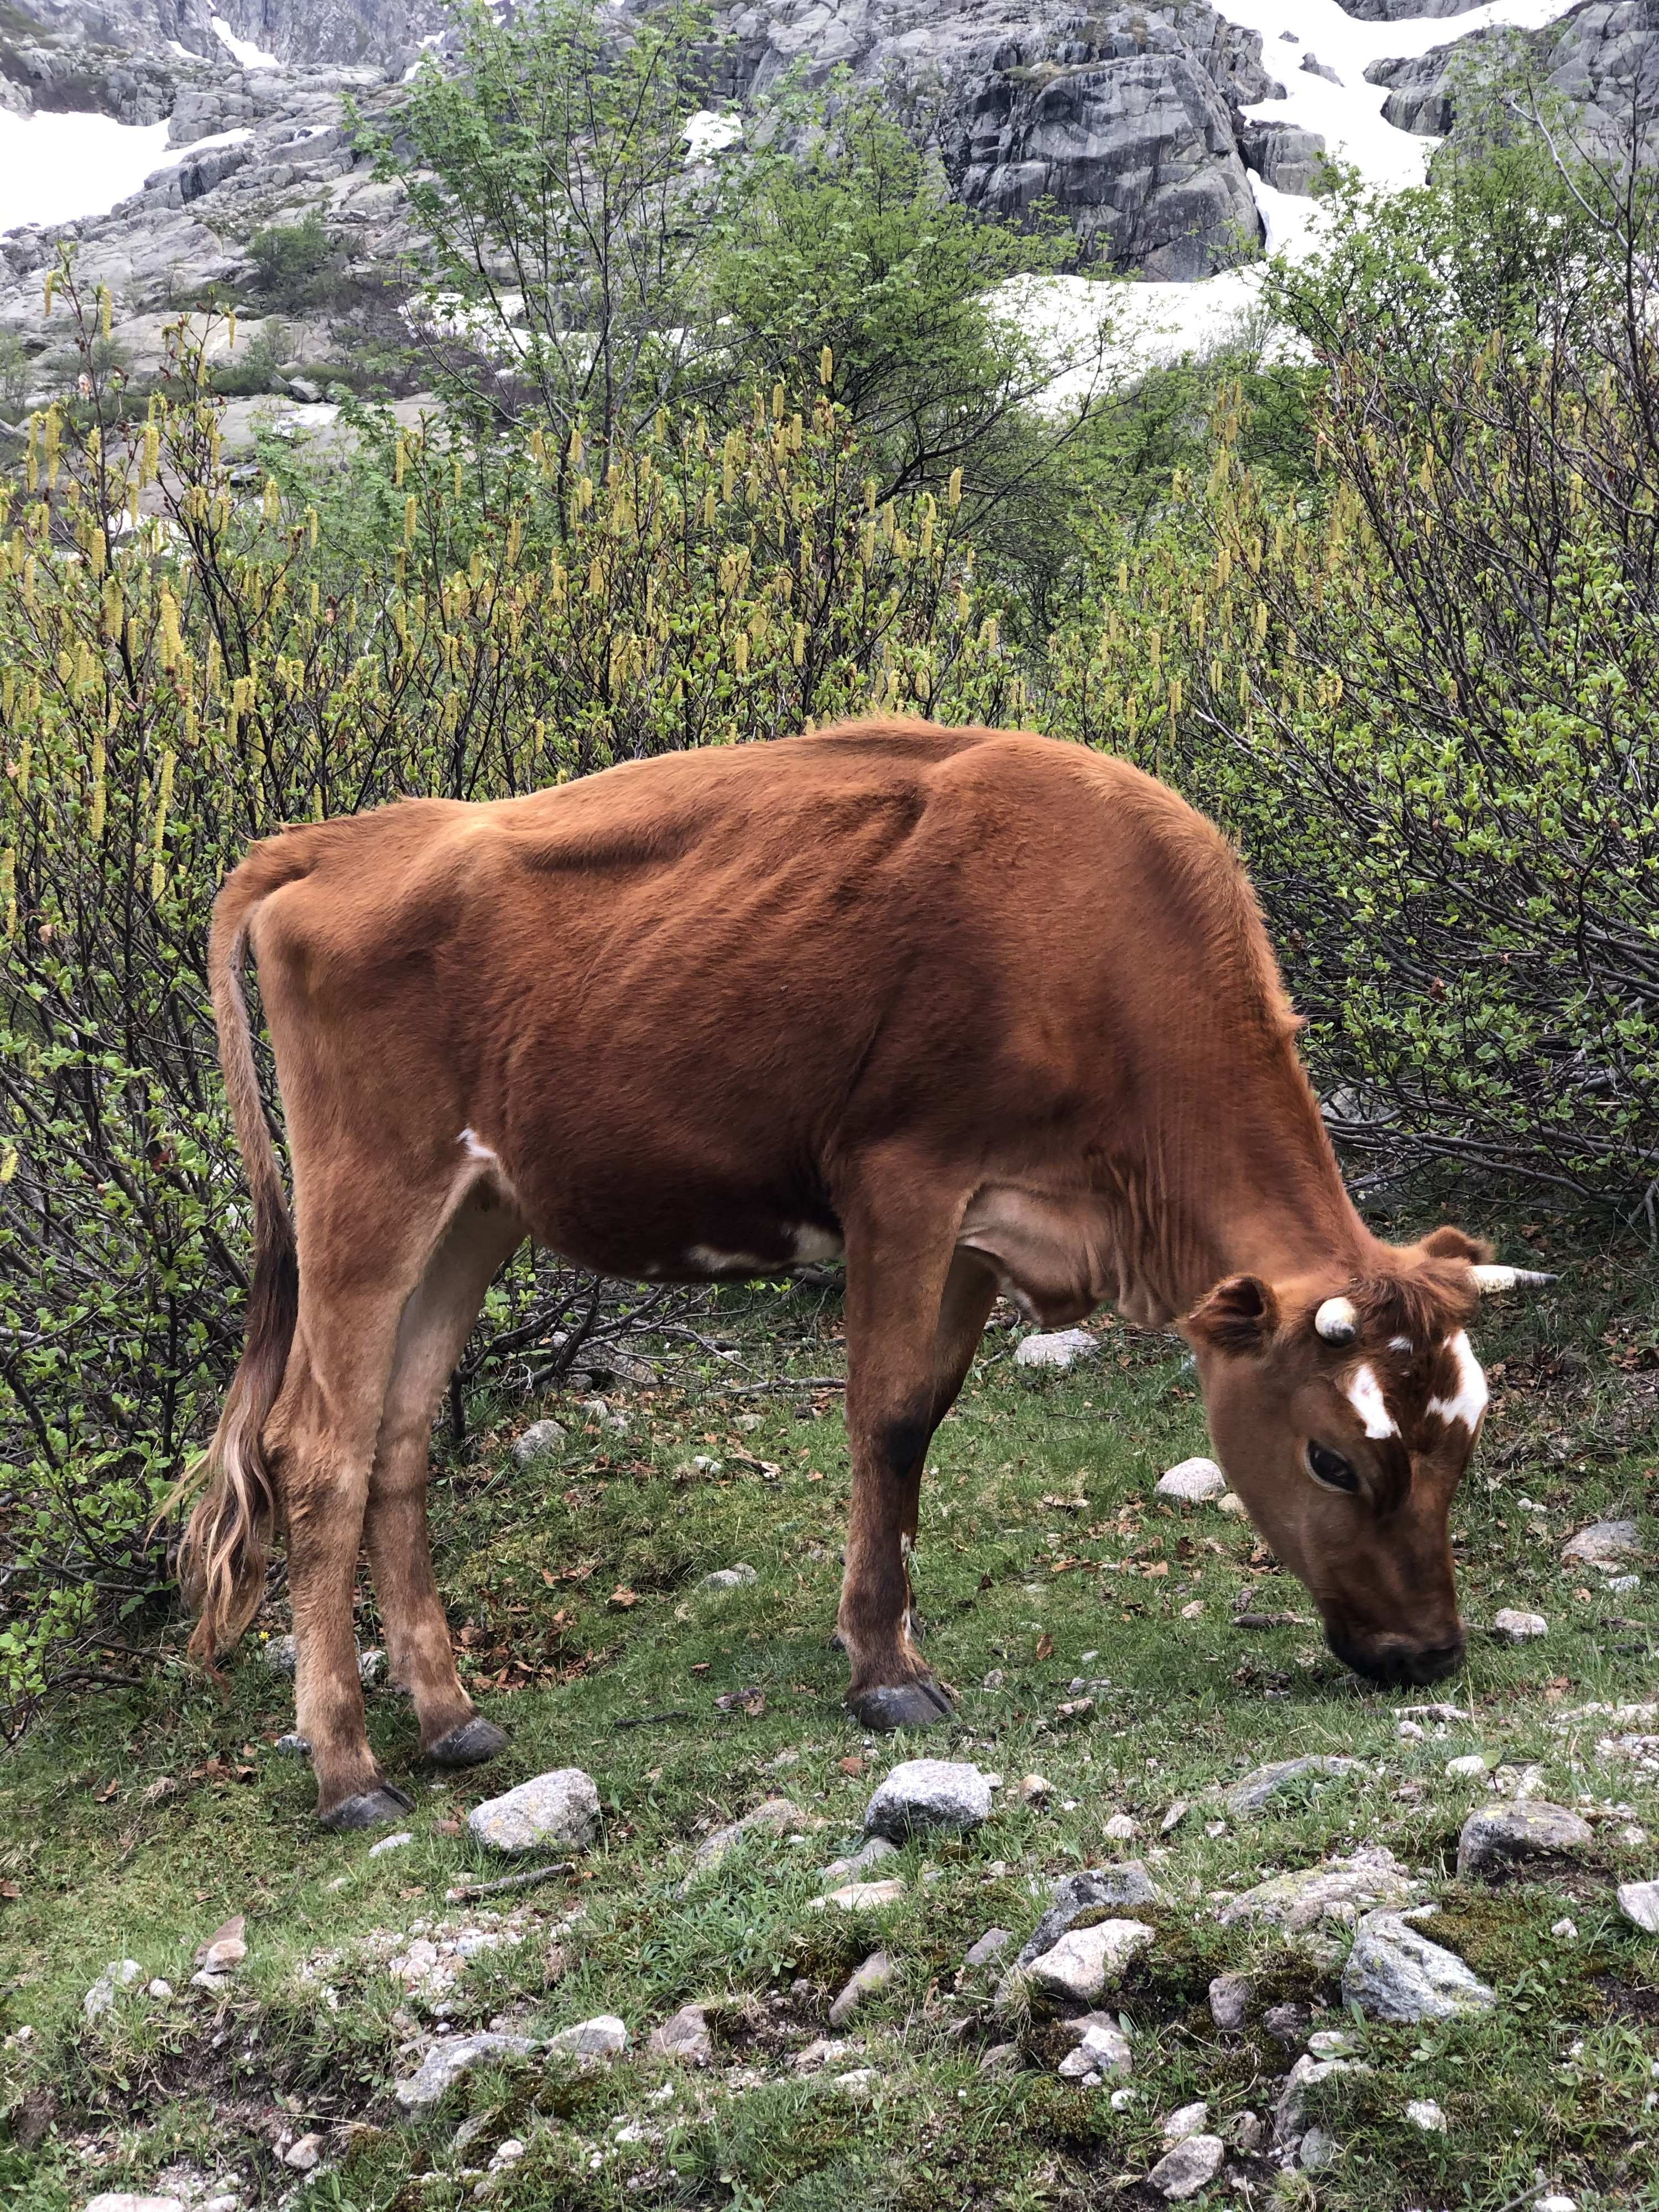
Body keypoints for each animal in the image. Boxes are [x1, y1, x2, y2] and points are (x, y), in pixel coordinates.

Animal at [185, 721, 1557, 1832]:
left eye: (1465, 1438)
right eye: (1334, 1457)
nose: (1430, 1650)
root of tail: (334, 841)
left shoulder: (985, 1227)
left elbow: (926, 1419)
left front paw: (876, 1635)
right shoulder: (903, 1177)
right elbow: (887, 1417)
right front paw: (887, 1675)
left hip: (476, 1209)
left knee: (401, 1435)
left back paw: (451, 1713)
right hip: (371, 1187)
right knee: (317, 1448)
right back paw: (349, 1771)